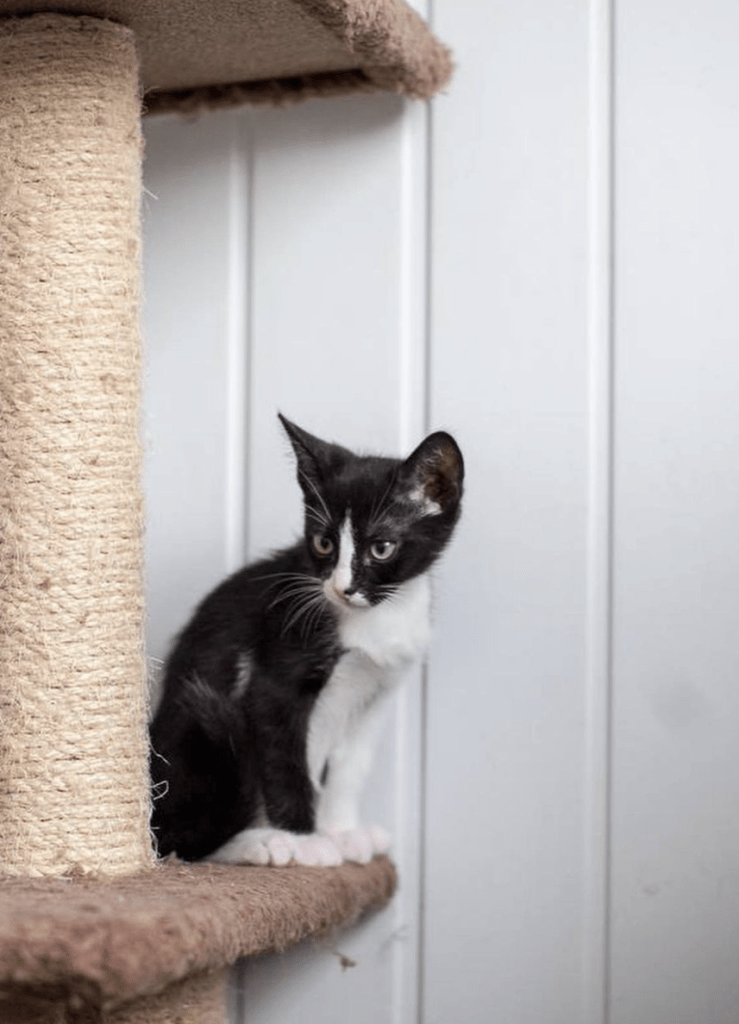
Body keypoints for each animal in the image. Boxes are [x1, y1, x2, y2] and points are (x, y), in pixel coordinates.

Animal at [148, 411, 460, 868]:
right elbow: (289, 763)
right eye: (324, 543)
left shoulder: (377, 692)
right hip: (200, 729)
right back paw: (261, 843)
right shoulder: (275, 678)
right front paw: (308, 841)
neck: (375, 618)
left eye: (381, 548)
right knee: (180, 840)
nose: (342, 589)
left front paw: (343, 833)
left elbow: (350, 766)